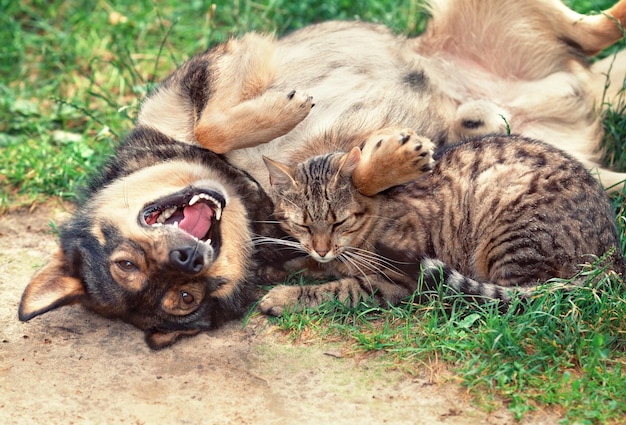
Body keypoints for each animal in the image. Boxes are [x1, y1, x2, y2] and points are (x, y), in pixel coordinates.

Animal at [256, 130, 620, 314]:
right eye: (303, 225)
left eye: (338, 222)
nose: (322, 248)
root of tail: (614, 254)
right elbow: (309, 262)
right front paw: (278, 266)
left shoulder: (395, 277)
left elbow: (338, 290)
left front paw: (283, 297)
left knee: (518, 298)